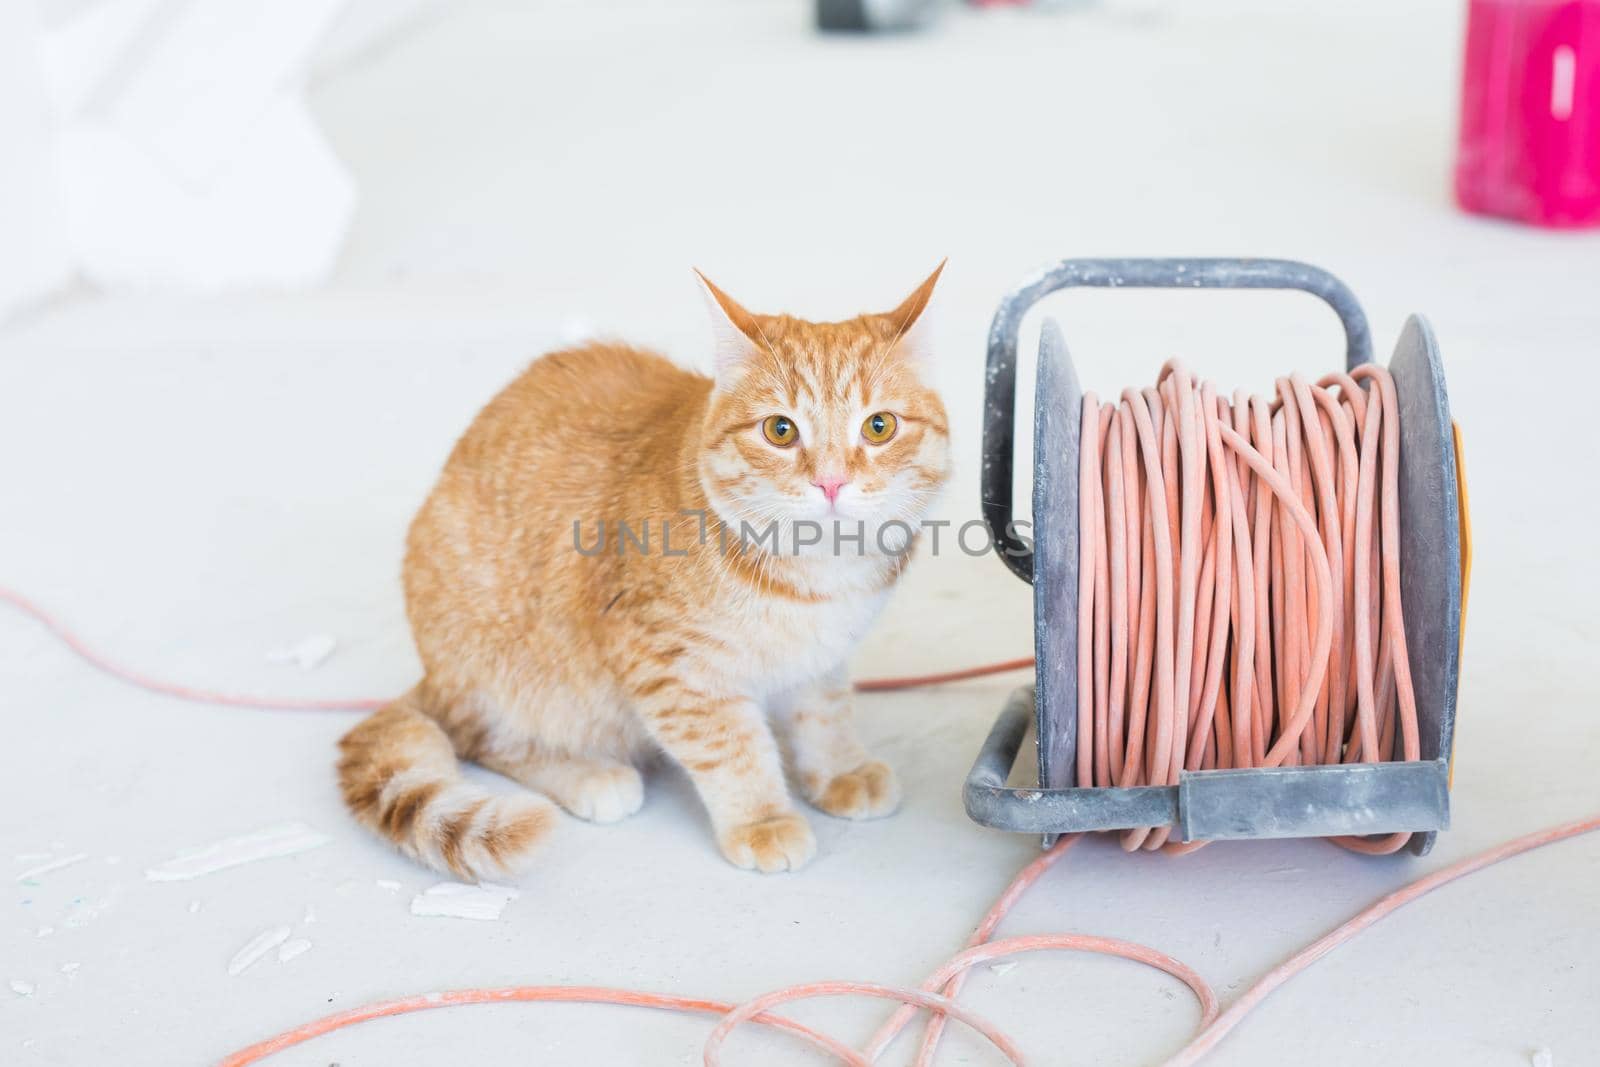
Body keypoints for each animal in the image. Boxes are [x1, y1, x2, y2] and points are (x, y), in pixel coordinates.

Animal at [331, 267, 940, 876]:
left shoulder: (821, 657)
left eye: (879, 426)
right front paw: (762, 819)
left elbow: (824, 713)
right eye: (781, 431)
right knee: (484, 738)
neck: (821, 577)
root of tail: (432, 676)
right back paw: (588, 775)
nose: (831, 482)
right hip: (513, 675)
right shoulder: (669, 665)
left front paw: (840, 769)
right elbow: (731, 748)